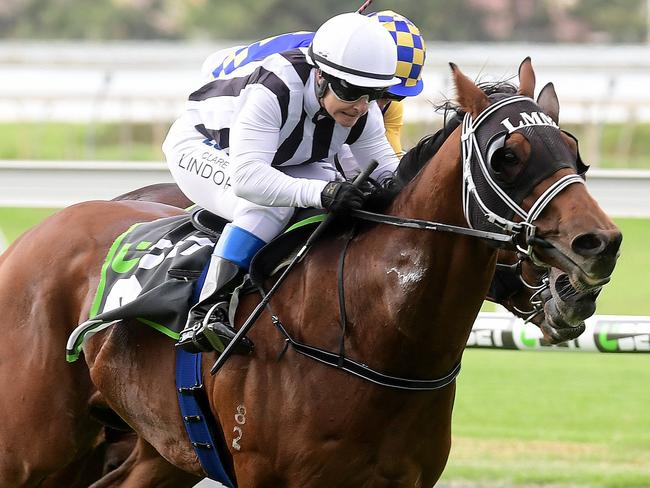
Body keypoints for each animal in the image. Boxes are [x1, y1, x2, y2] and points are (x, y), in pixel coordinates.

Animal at [0, 59, 616, 486]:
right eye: (505, 155)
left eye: (572, 148)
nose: (600, 243)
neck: (374, 332)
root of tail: (26, 241)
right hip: (31, 450)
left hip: (157, 447)